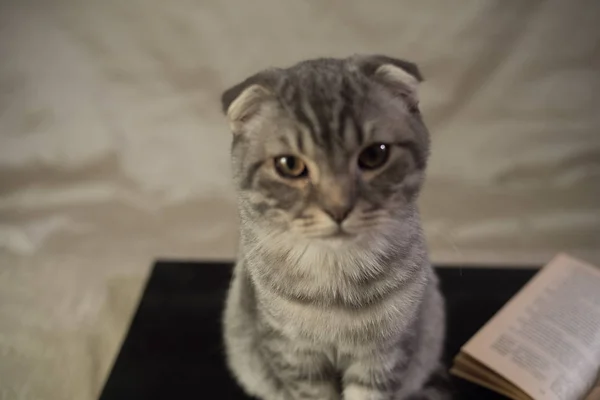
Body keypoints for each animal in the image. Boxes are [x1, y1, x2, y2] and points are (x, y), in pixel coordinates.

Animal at [220, 54, 450, 400]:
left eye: (375, 155)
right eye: (289, 165)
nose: (338, 208)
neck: (336, 275)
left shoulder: (386, 353)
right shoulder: (294, 354)